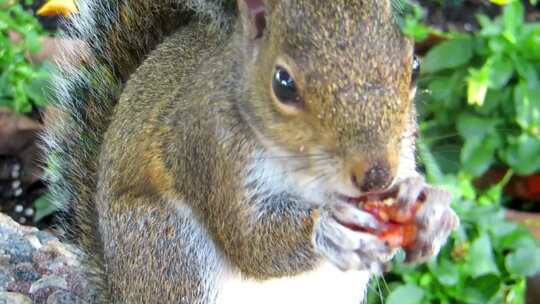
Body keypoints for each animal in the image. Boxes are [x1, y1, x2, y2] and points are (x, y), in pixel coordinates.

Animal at [44, 0, 460, 302]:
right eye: (283, 84)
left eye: (415, 65)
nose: (376, 174)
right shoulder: (210, 149)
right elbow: (252, 244)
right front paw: (329, 227)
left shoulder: (402, 147)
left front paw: (431, 209)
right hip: (168, 250)